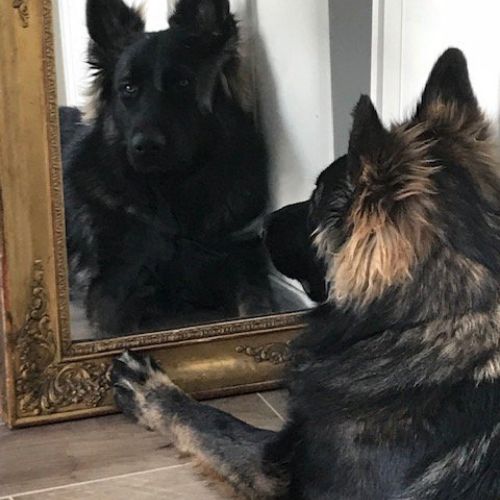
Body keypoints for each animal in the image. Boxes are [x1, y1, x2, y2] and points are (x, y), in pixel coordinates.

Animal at [63, 0, 271, 337]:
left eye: (183, 83)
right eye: (128, 88)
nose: (146, 146)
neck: (171, 195)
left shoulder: (243, 265)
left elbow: (257, 307)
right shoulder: (115, 287)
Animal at [112, 48, 500, 498]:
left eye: (316, 202)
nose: (261, 226)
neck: (440, 316)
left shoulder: (282, 468)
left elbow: (218, 425)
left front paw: (152, 391)